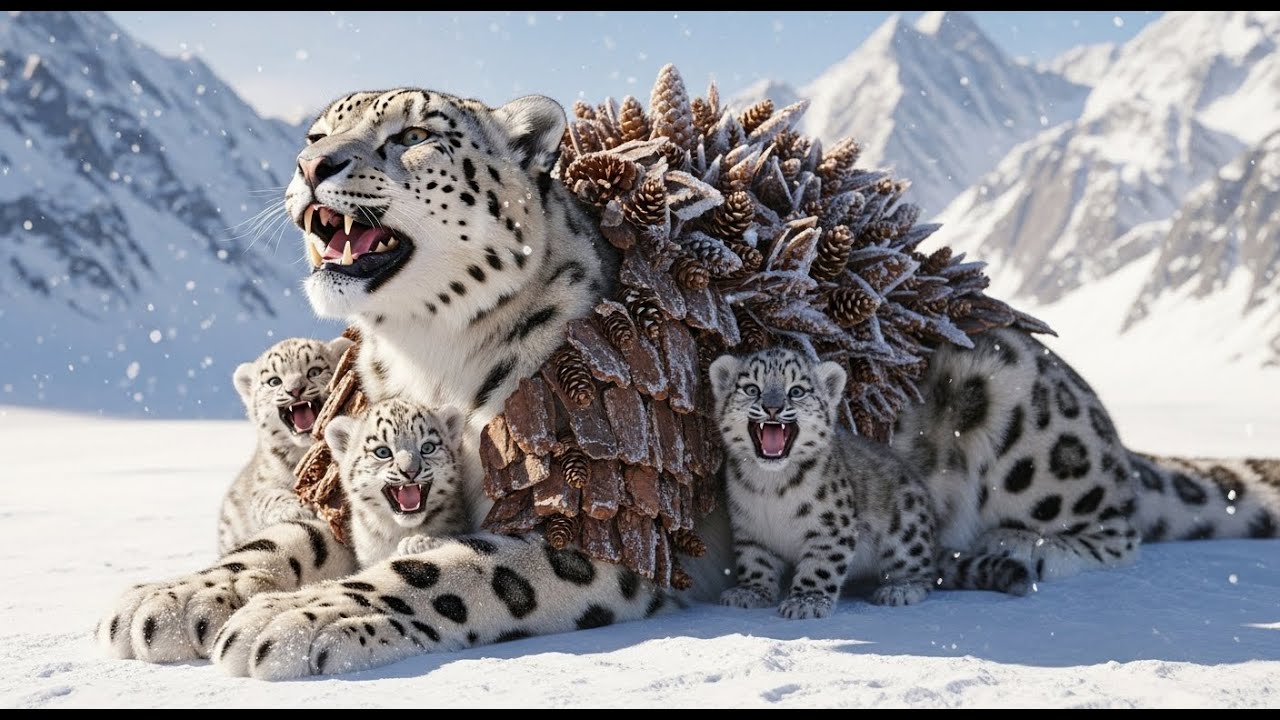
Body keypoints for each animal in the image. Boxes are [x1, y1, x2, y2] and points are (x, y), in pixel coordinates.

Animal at [216, 336, 352, 555]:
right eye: (274, 381)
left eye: (314, 371)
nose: (295, 389)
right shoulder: (264, 483)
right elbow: (265, 497)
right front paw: (294, 509)